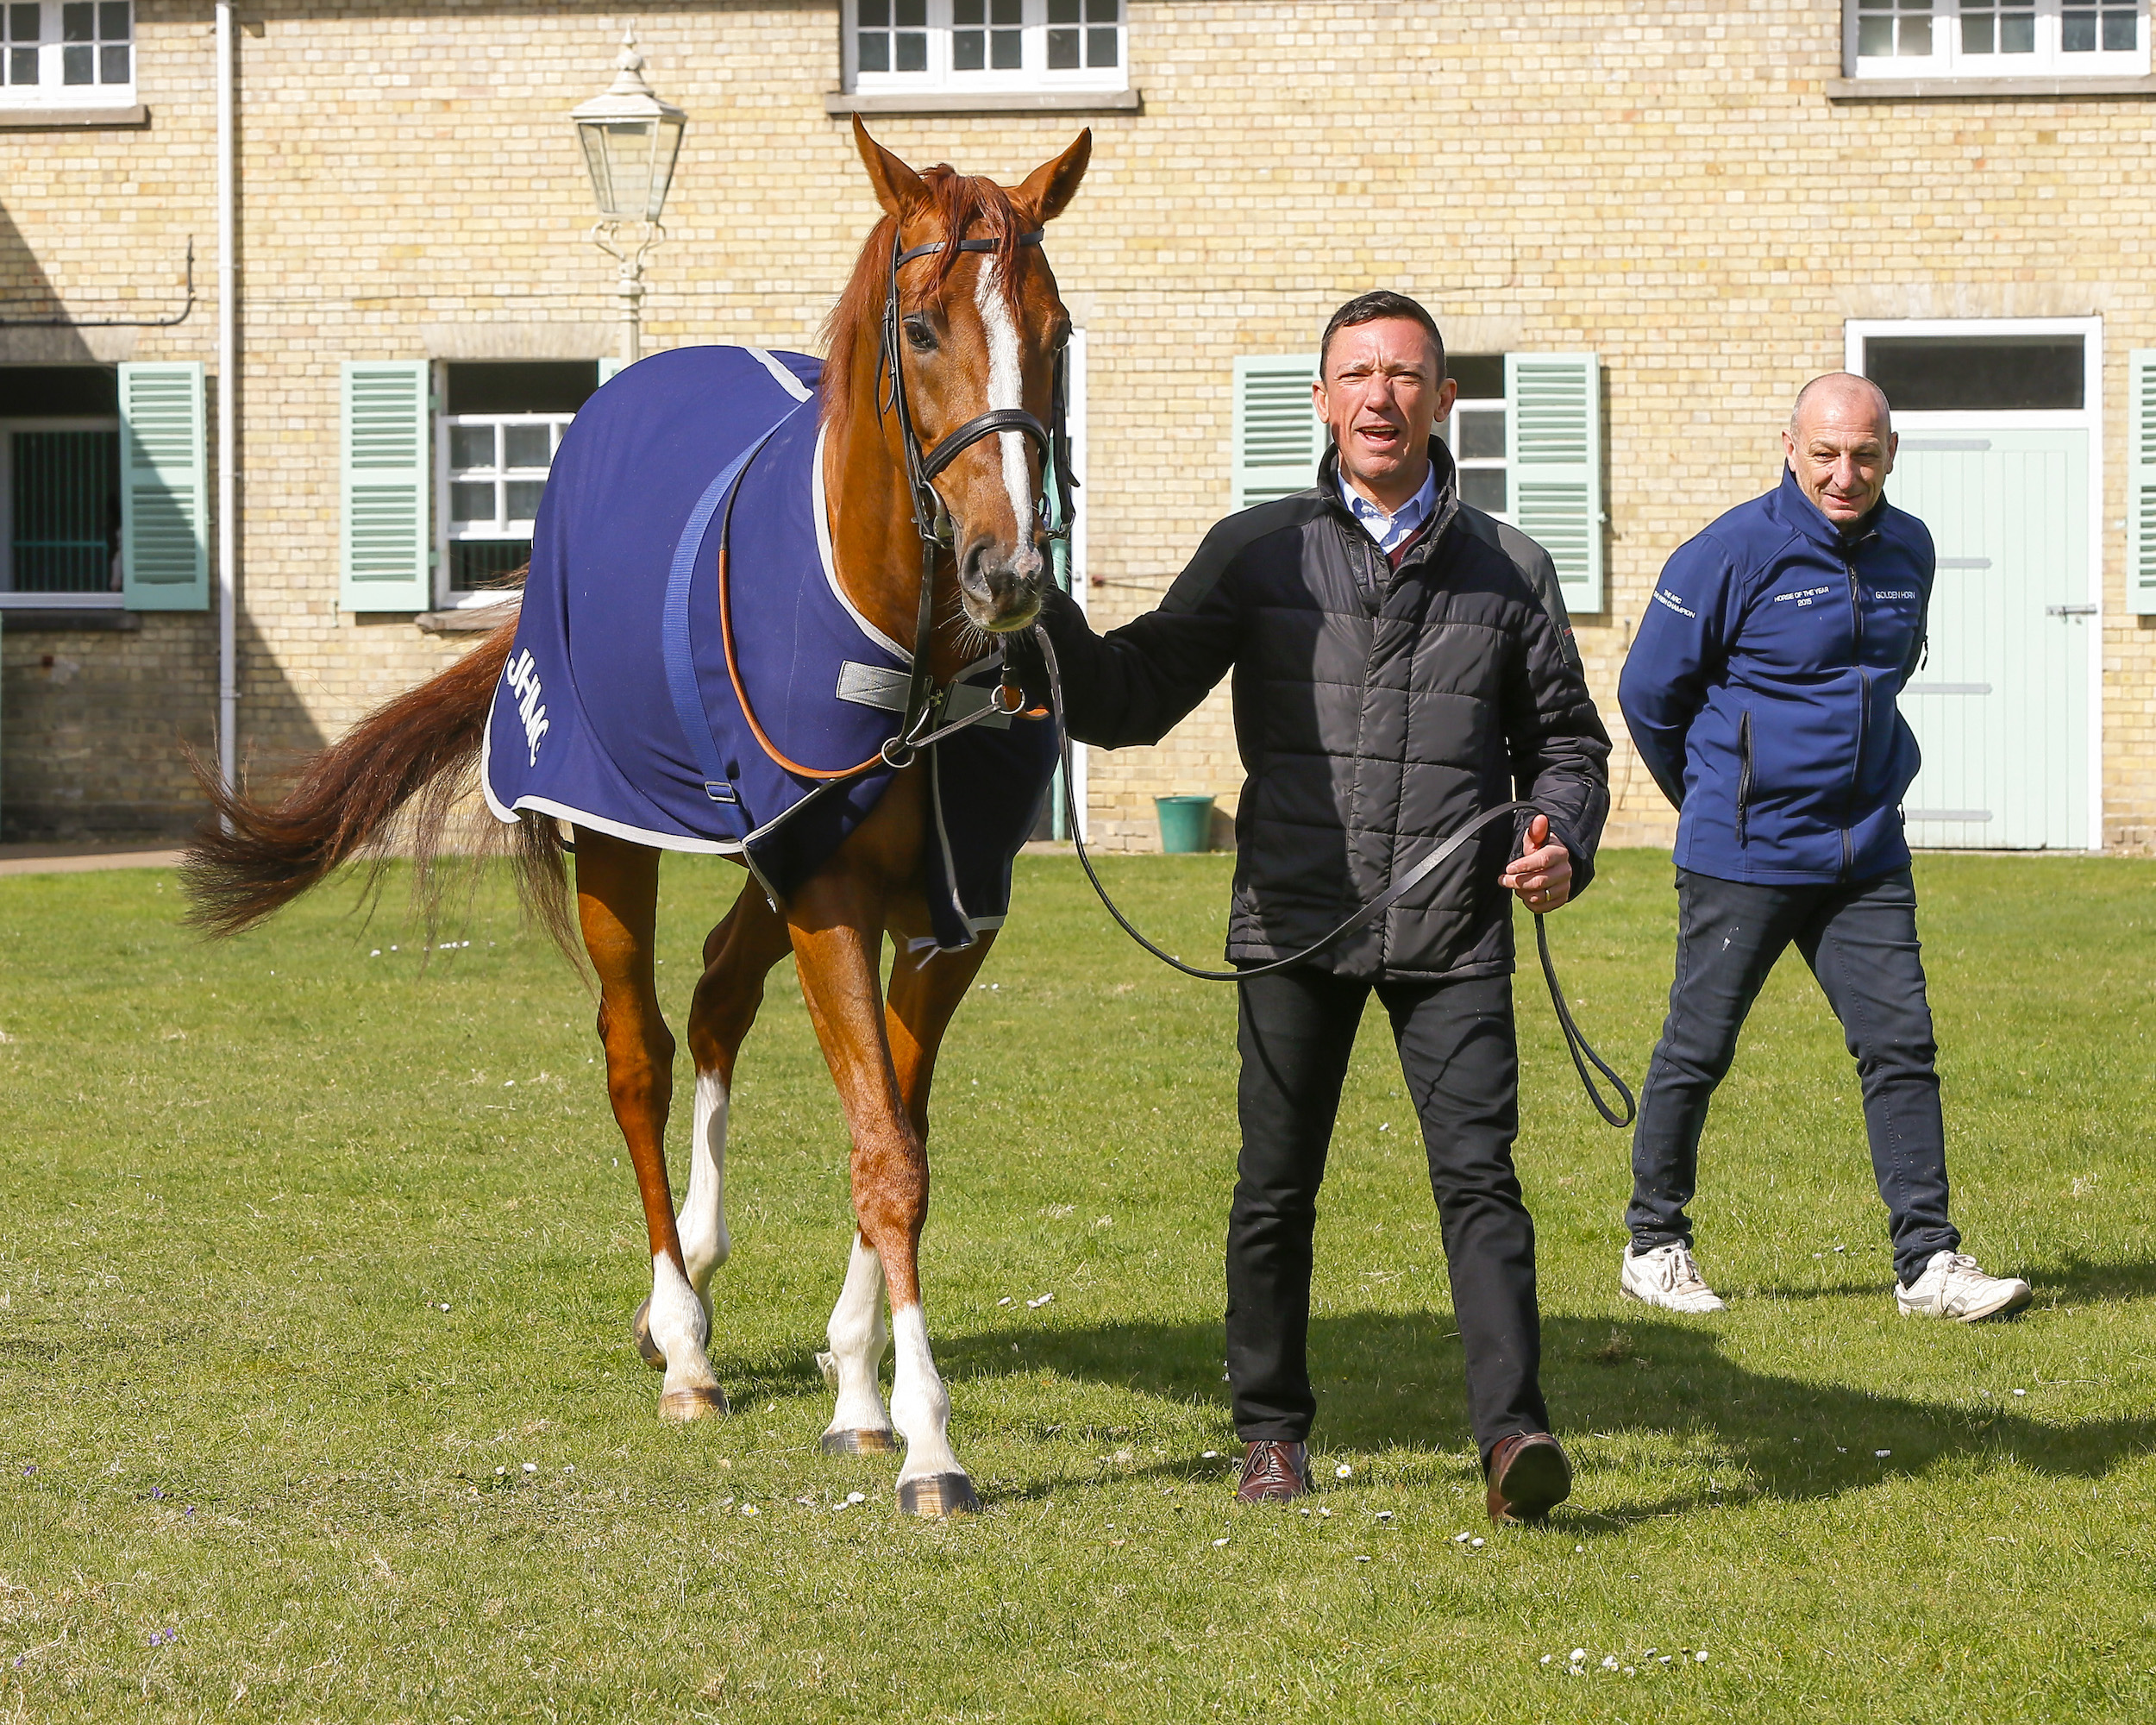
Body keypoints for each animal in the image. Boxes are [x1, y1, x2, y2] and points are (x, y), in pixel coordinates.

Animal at [179, 121, 1095, 1518]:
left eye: (1054, 330)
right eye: (923, 327)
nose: (1008, 574)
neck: (913, 646)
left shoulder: (950, 911)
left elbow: (898, 1138)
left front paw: (859, 1385)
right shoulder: (826, 888)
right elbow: (885, 1153)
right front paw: (927, 1440)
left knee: (717, 993)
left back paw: (703, 1284)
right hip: (618, 843)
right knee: (641, 1052)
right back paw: (682, 1339)